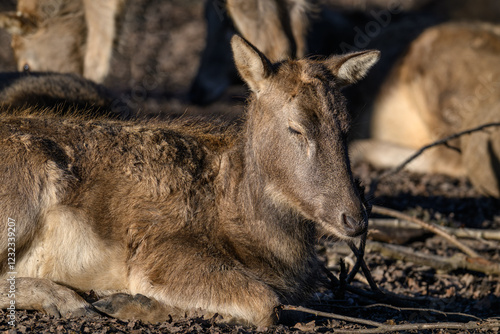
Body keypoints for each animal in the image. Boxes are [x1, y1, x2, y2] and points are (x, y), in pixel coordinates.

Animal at [0, 36, 378, 326]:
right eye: (296, 127)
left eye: (346, 128)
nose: (355, 218)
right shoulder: (159, 248)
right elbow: (266, 304)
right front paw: (124, 301)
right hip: (20, 198)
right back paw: (66, 299)